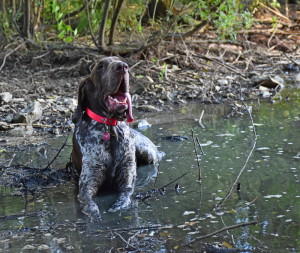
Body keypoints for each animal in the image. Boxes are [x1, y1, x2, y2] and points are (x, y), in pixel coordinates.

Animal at [71, 55, 162, 221]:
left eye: (118, 59)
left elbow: (125, 195)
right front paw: (95, 215)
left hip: (146, 152)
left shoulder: (127, 178)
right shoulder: (87, 184)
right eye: (100, 67)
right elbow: (89, 203)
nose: (123, 67)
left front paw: (118, 207)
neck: (110, 128)